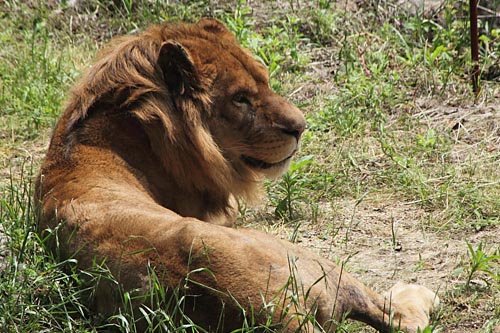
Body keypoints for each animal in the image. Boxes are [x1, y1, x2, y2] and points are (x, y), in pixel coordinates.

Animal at [36, 18, 438, 332]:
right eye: (241, 98)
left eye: (265, 81)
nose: (301, 127)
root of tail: (273, 312)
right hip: (305, 258)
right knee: (399, 317)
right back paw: (417, 292)